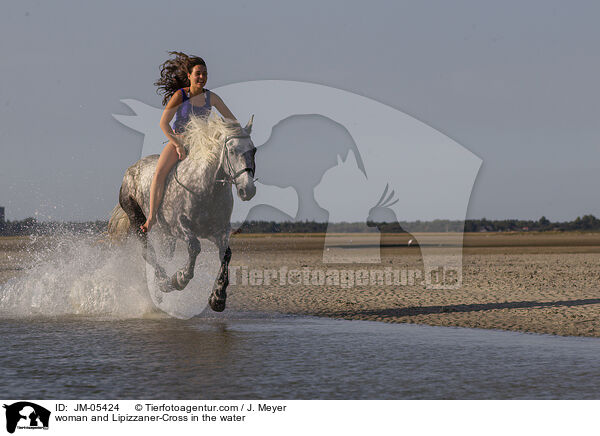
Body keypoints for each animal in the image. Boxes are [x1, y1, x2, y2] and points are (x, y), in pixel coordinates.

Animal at [108, 114, 255, 312]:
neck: (207, 188)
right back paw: (164, 282)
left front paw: (218, 298)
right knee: (148, 252)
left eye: (254, 150)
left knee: (164, 255)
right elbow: (194, 247)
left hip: (165, 234)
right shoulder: (179, 226)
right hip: (138, 220)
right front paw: (180, 278)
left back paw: (159, 292)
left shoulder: (218, 231)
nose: (248, 190)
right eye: (231, 151)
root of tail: (131, 169)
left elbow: (226, 254)